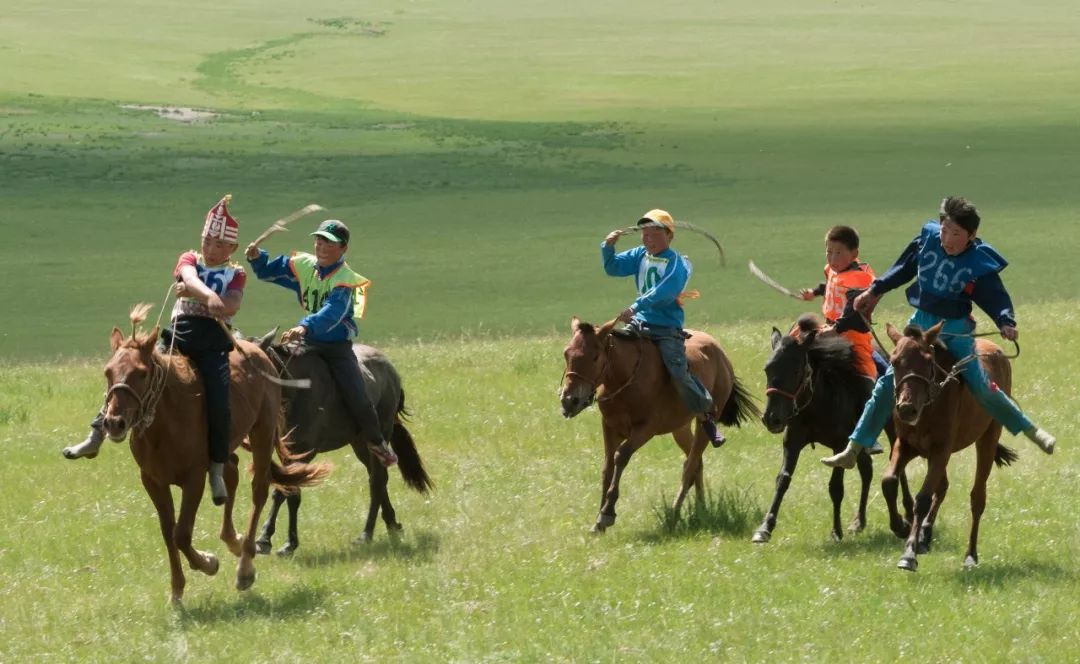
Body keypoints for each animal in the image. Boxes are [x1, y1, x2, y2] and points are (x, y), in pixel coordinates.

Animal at [100, 304, 328, 604]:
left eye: (141, 373)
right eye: (108, 372)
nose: (114, 422)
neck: (166, 421)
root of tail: (259, 353)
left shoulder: (194, 479)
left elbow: (181, 534)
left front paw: (209, 563)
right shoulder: (152, 481)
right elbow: (168, 532)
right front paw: (177, 590)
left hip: (262, 433)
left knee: (259, 489)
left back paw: (245, 566)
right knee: (231, 472)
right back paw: (233, 540)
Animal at [252, 336, 434, 557]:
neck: (296, 391)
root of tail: (390, 369)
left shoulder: (303, 452)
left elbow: (287, 491)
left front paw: (281, 542)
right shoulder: (286, 452)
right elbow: (285, 490)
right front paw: (268, 538)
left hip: (379, 434)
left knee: (377, 480)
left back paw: (366, 534)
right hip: (360, 444)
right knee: (379, 479)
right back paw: (392, 524)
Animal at [557, 317, 760, 535]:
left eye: (595, 357)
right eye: (566, 353)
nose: (569, 400)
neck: (626, 378)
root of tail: (721, 354)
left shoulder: (646, 429)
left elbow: (621, 456)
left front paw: (607, 513)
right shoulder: (610, 427)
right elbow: (607, 467)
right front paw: (598, 522)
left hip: (704, 422)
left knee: (690, 465)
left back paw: (674, 513)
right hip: (680, 428)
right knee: (696, 462)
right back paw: (701, 510)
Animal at [756, 317, 907, 546]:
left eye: (795, 371)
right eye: (767, 369)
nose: (772, 418)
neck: (818, 401)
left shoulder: (839, 445)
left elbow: (836, 488)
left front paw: (836, 531)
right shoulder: (792, 442)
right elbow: (782, 479)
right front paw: (765, 527)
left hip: (890, 428)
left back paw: (909, 511)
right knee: (867, 470)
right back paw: (859, 521)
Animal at [881, 321, 1015, 570]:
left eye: (927, 360)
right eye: (894, 361)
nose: (907, 409)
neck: (929, 405)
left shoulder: (940, 451)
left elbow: (923, 499)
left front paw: (909, 553)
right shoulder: (907, 446)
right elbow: (888, 481)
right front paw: (901, 527)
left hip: (988, 438)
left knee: (977, 498)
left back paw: (970, 555)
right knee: (942, 487)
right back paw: (924, 534)